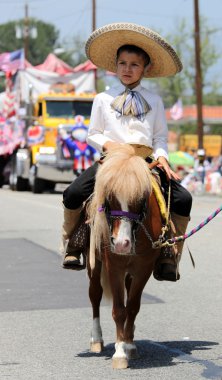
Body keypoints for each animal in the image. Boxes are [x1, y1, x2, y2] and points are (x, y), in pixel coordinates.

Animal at [86, 144, 163, 370]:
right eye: (110, 197)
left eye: (141, 198)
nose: (121, 244)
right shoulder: (115, 267)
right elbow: (119, 309)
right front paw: (119, 353)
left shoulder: (144, 268)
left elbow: (133, 307)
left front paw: (128, 345)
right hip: (95, 266)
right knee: (95, 295)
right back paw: (96, 340)